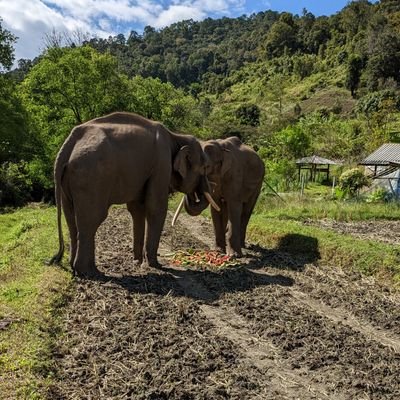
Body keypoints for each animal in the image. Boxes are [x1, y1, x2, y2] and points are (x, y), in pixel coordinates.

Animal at [50, 111, 220, 276]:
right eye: (205, 167)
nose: (195, 193)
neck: (176, 136)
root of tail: (69, 143)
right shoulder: (161, 164)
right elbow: (156, 207)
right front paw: (155, 265)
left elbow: (137, 208)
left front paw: (137, 262)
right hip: (91, 178)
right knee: (92, 220)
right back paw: (90, 273)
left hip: (69, 180)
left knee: (71, 220)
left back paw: (76, 268)